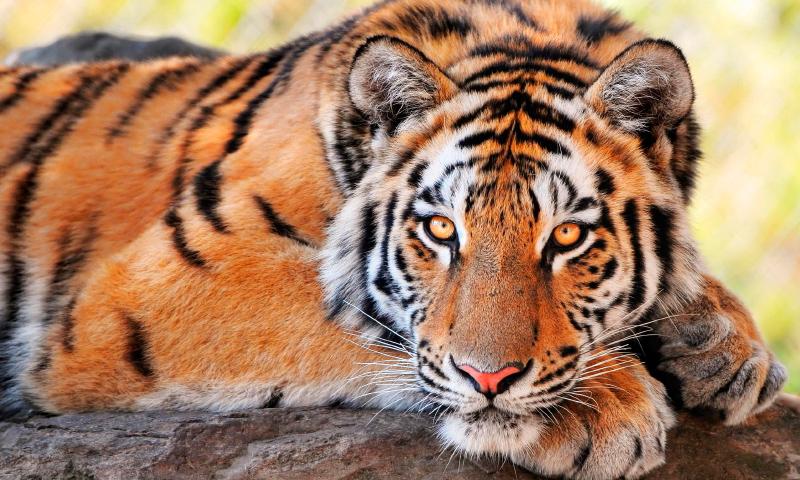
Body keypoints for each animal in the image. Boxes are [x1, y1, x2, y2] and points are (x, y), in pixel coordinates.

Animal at [0, 0, 788, 478]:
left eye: (567, 236)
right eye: (440, 229)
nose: (490, 381)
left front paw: (724, 345)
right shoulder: (159, 288)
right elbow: (368, 325)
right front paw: (604, 405)